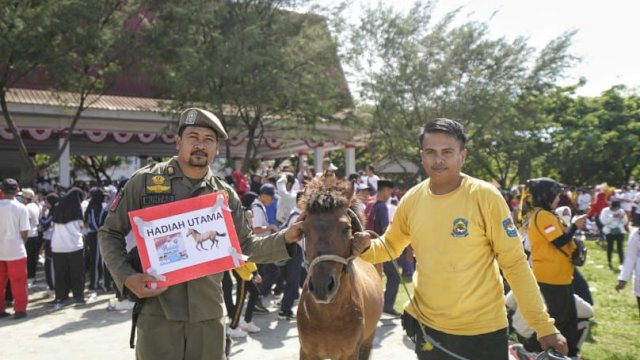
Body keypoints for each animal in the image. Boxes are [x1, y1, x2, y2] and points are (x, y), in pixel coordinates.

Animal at [298, 176, 382, 358]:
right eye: (304, 231)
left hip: (369, 339)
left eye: (346, 228)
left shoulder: (351, 353)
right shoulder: (307, 352)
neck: (327, 317)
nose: (321, 285)